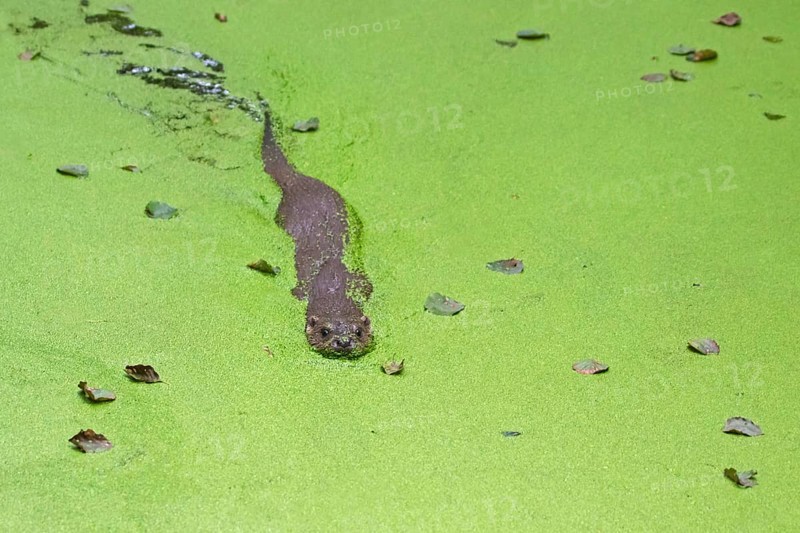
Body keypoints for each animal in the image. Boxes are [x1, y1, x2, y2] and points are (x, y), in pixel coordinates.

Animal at [260, 110, 373, 356]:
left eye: (358, 331)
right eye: (325, 331)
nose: (343, 341)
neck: (334, 286)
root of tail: (297, 179)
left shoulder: (363, 285)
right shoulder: (303, 290)